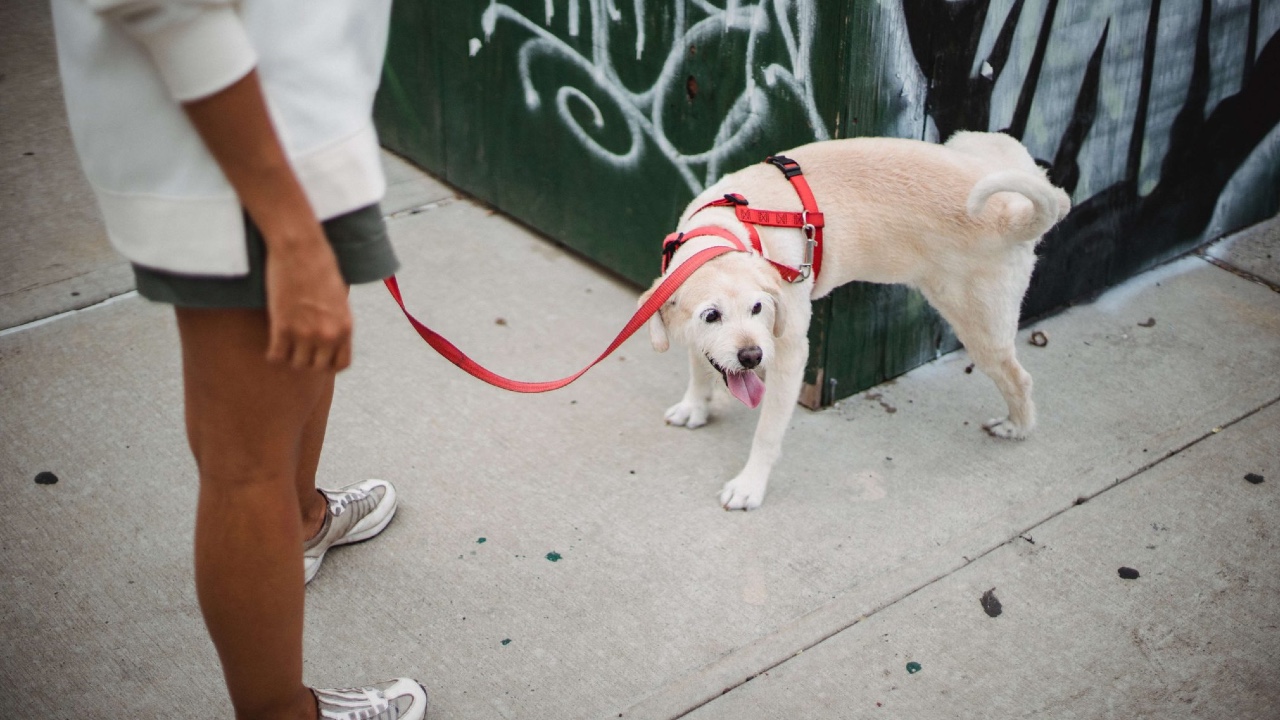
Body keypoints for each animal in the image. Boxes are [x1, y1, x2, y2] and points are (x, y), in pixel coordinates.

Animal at [637, 131, 1070, 507]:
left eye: (758, 308)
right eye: (711, 315)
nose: (751, 357)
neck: (728, 231)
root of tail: (1010, 214)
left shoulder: (790, 354)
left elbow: (767, 432)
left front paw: (749, 485)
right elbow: (699, 367)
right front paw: (694, 407)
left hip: (980, 326)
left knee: (1018, 378)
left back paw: (1018, 427)